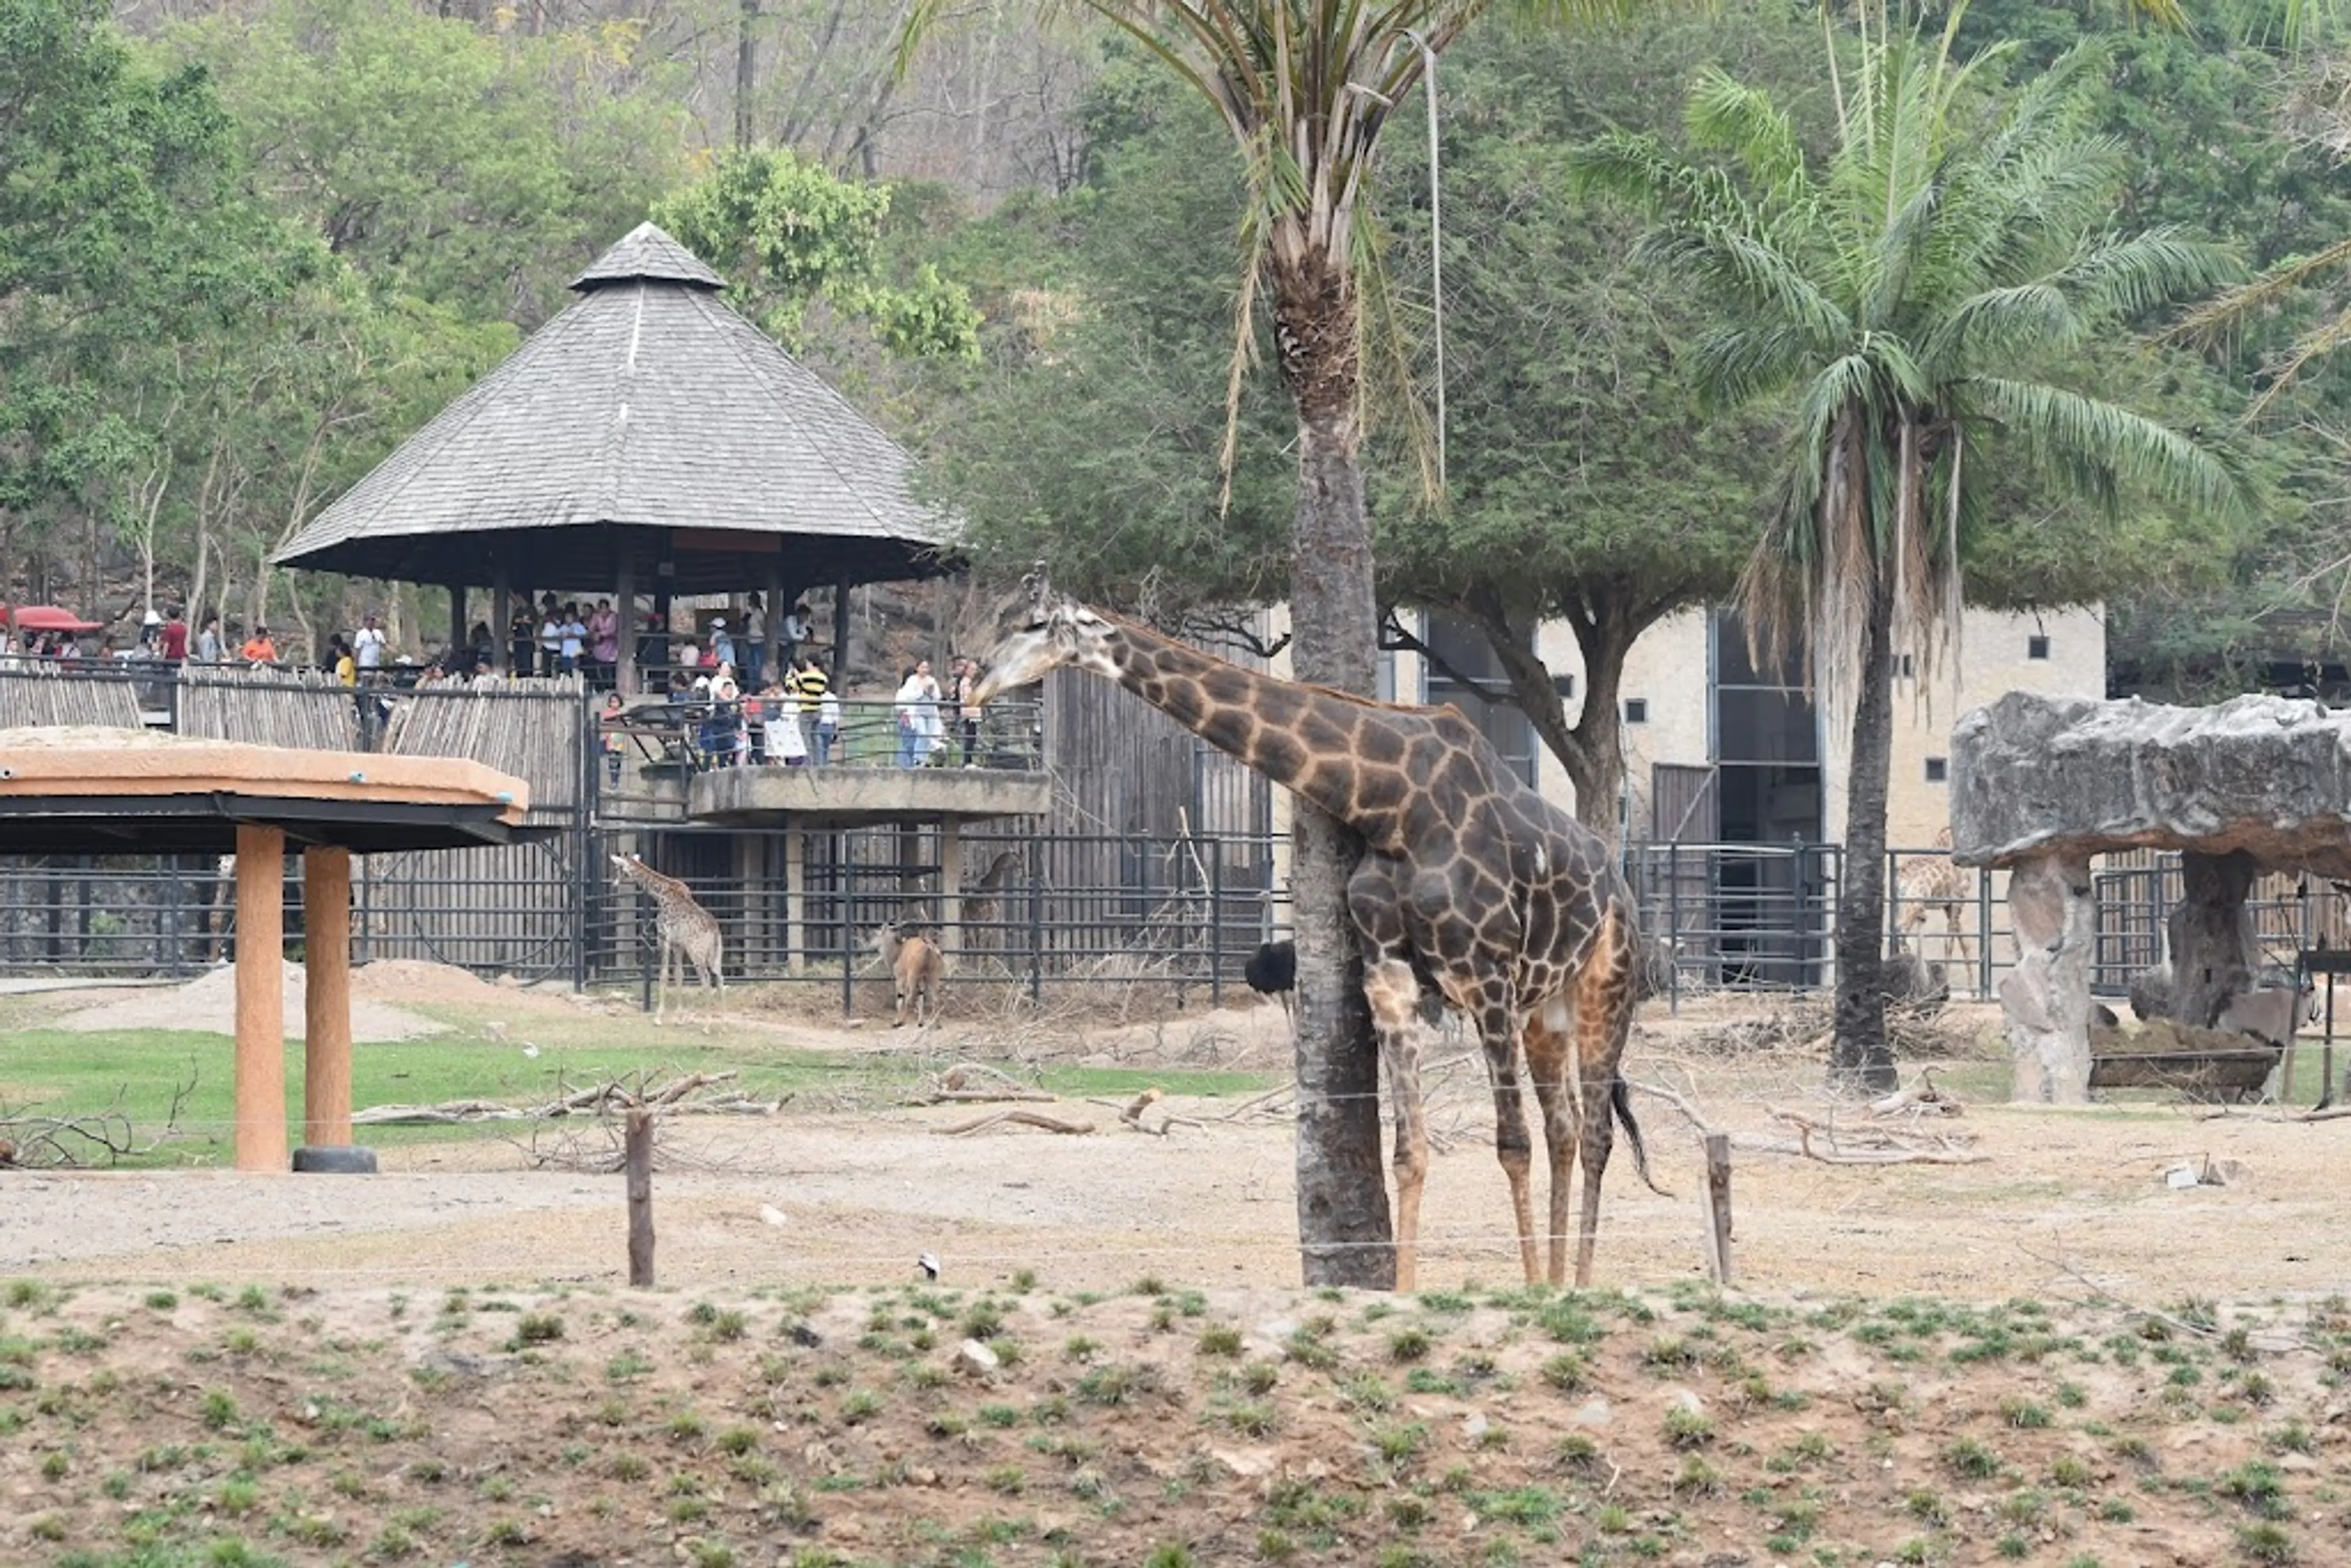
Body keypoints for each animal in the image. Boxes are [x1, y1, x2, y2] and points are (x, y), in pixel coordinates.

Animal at [611, 850, 719, 1025]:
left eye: (618, 868)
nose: (614, 884)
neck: (660, 894)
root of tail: (714, 930)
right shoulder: (678, 944)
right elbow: (679, 974)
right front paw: (679, 1017)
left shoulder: (664, 938)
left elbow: (664, 974)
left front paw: (658, 1017)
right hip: (712, 952)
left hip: (697, 952)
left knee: (707, 980)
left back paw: (707, 1025)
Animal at [973, 576, 1674, 1288]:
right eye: (995, 617)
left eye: (1032, 623)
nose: (974, 683)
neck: (1392, 806)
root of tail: (1622, 893)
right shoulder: (1390, 975)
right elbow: (1410, 1151)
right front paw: (1408, 1290)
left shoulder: (1486, 976)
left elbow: (1512, 1144)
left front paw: (1529, 1293)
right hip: (1545, 1009)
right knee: (1566, 1128)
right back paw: (1563, 1280)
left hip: (1604, 992)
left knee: (1595, 1133)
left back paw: (1575, 1285)